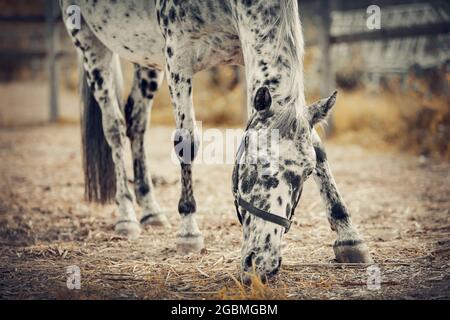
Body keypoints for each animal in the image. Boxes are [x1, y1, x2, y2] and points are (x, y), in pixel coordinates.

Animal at [61, 0, 374, 280]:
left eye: (307, 173)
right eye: (255, 165)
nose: (263, 265)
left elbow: (317, 145)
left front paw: (349, 235)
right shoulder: (178, 58)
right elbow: (186, 143)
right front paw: (188, 230)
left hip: (146, 59)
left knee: (136, 122)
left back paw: (151, 211)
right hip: (89, 42)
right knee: (113, 127)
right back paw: (126, 215)